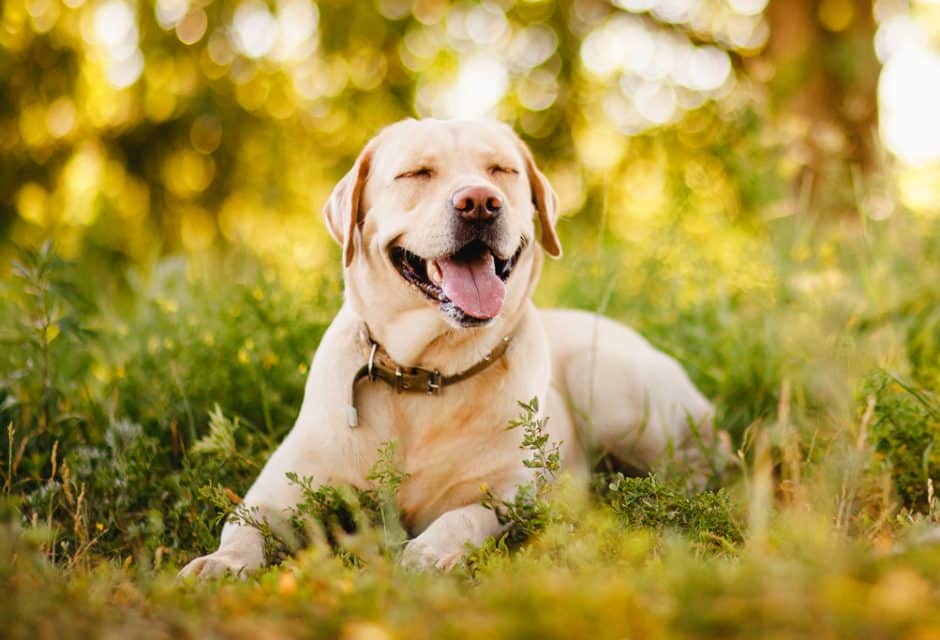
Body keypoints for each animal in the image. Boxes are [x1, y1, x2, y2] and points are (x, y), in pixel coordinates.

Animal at [180, 117, 724, 576]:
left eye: (500, 170)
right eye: (417, 173)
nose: (480, 202)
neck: (424, 374)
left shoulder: (507, 492)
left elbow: (463, 516)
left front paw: (429, 552)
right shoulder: (277, 491)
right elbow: (243, 526)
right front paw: (220, 563)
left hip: (615, 390)